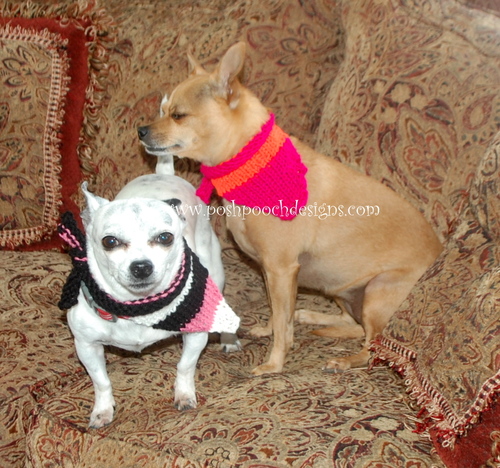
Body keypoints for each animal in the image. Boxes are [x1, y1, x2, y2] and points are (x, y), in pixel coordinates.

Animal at [60, 157, 240, 428]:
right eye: (110, 241)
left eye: (165, 238)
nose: (141, 266)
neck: (138, 306)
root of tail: (163, 174)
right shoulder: (87, 346)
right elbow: (101, 381)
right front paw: (102, 410)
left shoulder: (196, 335)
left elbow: (185, 365)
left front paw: (184, 394)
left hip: (215, 272)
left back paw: (229, 338)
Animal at [137, 42, 442, 374]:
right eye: (163, 110)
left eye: (178, 115)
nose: (141, 130)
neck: (248, 168)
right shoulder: (273, 273)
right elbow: (278, 314)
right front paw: (272, 331)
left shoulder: (281, 270)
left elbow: (282, 325)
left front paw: (273, 364)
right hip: (341, 289)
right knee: (354, 326)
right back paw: (311, 317)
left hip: (378, 293)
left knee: (373, 347)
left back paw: (344, 360)